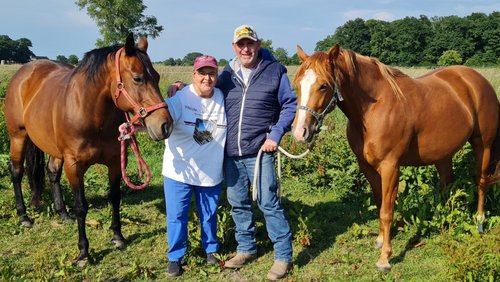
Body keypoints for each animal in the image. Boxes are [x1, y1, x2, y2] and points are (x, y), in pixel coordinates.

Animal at [4, 33, 174, 266]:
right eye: (138, 78)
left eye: (156, 77)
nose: (165, 125)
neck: (91, 113)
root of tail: (25, 71)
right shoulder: (74, 166)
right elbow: (81, 206)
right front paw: (84, 252)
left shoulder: (115, 161)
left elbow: (114, 197)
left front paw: (118, 237)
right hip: (18, 137)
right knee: (17, 173)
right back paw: (23, 216)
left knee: (52, 172)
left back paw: (63, 214)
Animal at [292, 45, 498, 272]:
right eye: (297, 84)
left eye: (323, 86)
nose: (300, 132)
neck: (374, 108)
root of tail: (476, 80)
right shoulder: (367, 167)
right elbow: (379, 202)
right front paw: (380, 240)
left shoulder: (390, 167)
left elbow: (387, 210)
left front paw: (385, 258)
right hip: (443, 155)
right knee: (447, 186)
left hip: (483, 146)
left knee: (481, 182)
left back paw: (479, 221)